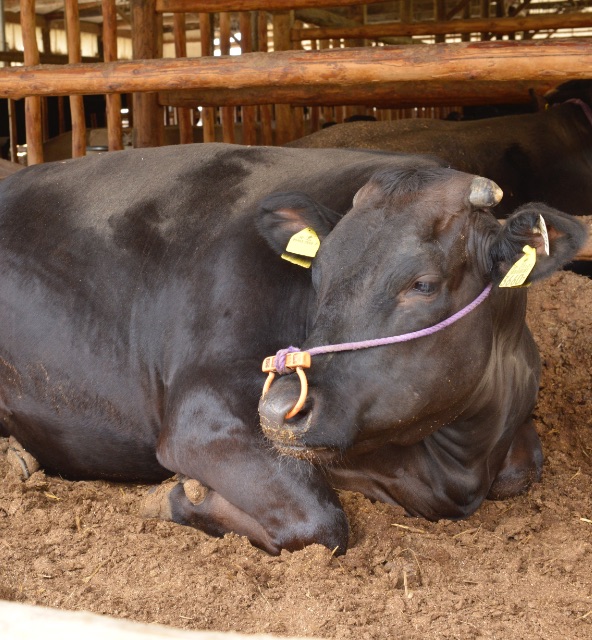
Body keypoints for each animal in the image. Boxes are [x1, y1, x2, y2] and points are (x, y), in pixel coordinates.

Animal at [0, 145, 584, 556]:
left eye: (422, 284)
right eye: (318, 275)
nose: (281, 408)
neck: (462, 458)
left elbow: (525, 466)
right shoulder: (205, 414)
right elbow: (321, 521)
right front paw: (177, 496)